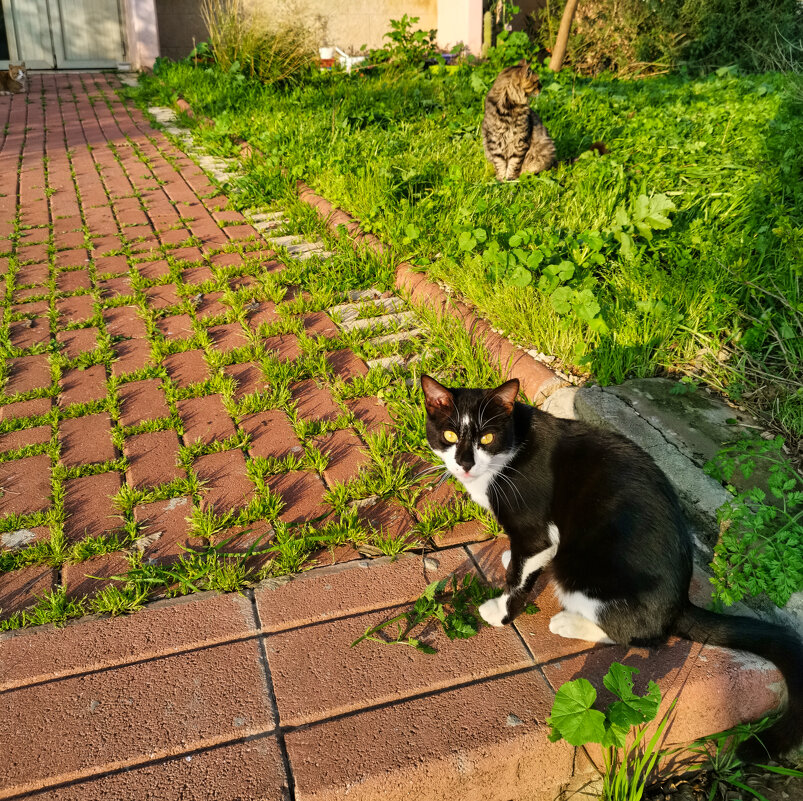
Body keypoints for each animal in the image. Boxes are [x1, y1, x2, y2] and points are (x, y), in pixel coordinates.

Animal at [420, 376, 803, 756]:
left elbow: (520, 575)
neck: (509, 452)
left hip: (581, 572)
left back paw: (568, 622)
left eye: (486, 438)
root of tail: (679, 603)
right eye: (450, 435)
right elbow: (520, 562)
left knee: (639, 635)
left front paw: (500, 611)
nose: (465, 464)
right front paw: (507, 559)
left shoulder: (535, 531)